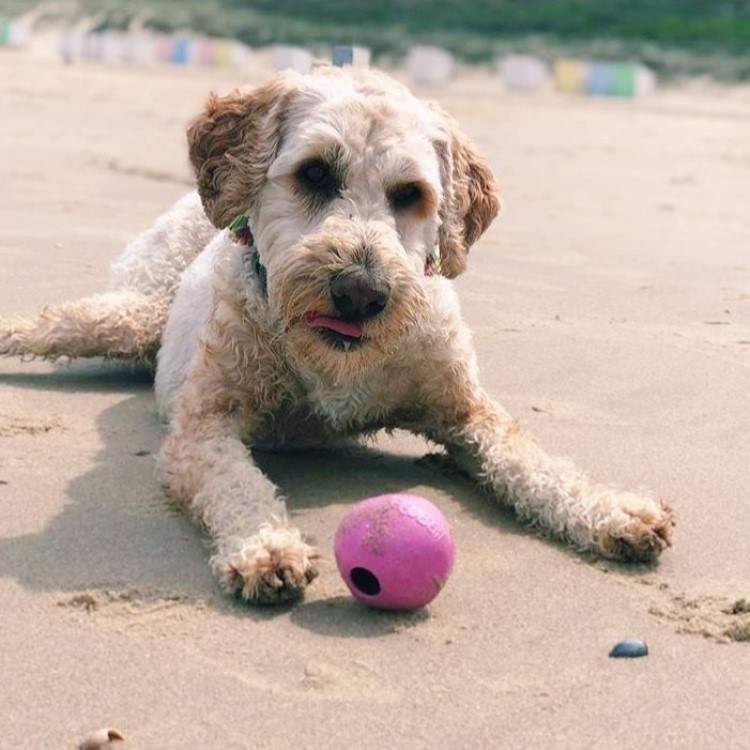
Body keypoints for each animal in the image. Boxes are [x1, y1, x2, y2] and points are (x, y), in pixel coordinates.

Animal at [0, 64, 676, 604]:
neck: (333, 360)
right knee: (46, 324)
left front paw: (611, 508)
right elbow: (234, 482)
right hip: (131, 313)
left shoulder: (466, 410)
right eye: (315, 173)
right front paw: (265, 545)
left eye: (411, 193)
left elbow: (534, 461)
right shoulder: (203, 425)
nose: (361, 292)